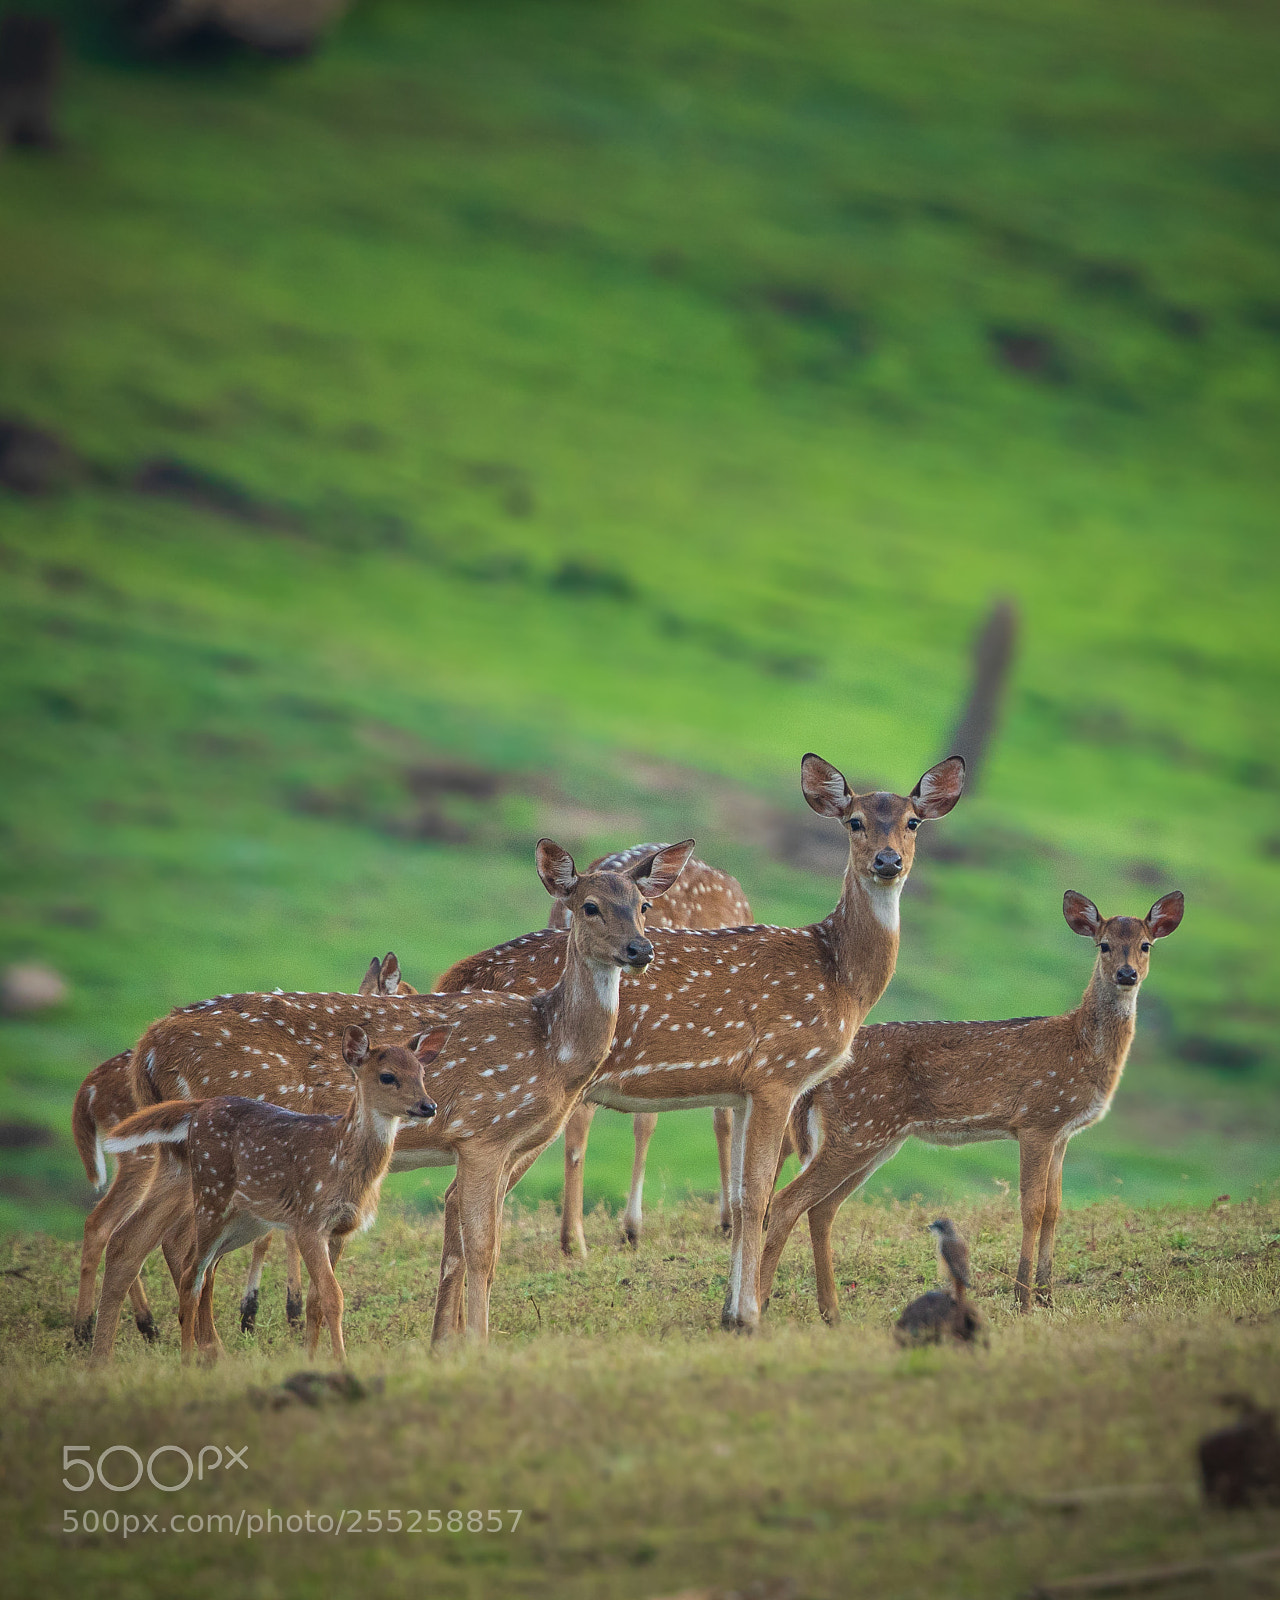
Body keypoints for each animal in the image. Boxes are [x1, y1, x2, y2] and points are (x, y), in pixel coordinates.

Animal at [71, 953, 419, 1346]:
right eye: (407, 993)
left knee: (120, 1231)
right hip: (151, 1160)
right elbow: (286, 1238)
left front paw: (269, 1311)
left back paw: (121, 1330)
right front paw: (273, 1313)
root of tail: (90, 1089)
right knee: (145, 1234)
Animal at [96, 1025, 445, 1364]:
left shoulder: (340, 1228)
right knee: (190, 1271)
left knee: (199, 1267)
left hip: (246, 1219)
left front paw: (311, 1358)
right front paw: (340, 1361)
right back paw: (186, 1360)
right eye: (387, 1076)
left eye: (421, 1072)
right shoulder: (309, 1219)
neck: (342, 1158)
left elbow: (317, 1299)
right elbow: (333, 1297)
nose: (428, 1106)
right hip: (211, 1193)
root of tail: (198, 1110)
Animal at [757, 889, 1185, 1319]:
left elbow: (1054, 1209)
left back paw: (830, 1310)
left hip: (874, 1138)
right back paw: (760, 1303)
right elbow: (1032, 1208)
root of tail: (816, 1080)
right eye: (1104, 945)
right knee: (786, 1202)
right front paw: (1023, 1300)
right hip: (860, 1129)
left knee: (822, 1209)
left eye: (1145, 945)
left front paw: (1048, 1298)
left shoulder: (1062, 1132)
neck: (1081, 1049)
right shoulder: (1036, 1120)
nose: (1127, 975)